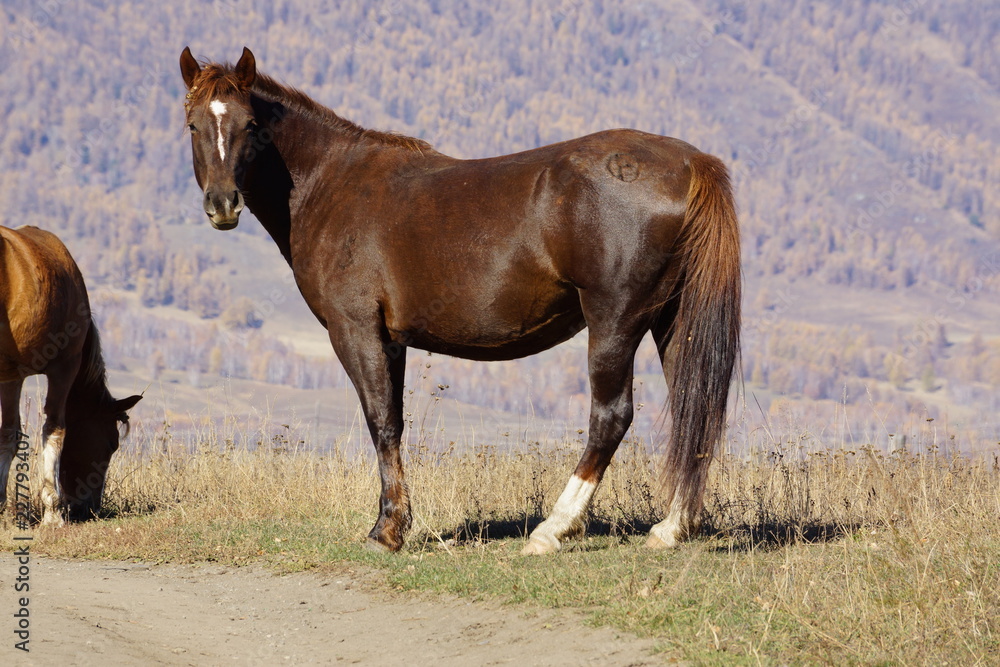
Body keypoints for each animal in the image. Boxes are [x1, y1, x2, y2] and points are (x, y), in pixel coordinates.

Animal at [0, 225, 142, 525]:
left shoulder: (11, 375)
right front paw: (53, 511)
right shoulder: (65, 367)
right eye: (111, 444)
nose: (89, 508)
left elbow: (8, 433)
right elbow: (55, 429)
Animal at [178, 47, 741, 554]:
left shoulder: (356, 331)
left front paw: (387, 531)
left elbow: (381, 422)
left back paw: (552, 530)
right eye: (192, 125)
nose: (223, 204)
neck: (331, 182)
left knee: (611, 417)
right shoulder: (392, 341)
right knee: (692, 406)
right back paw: (671, 528)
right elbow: (394, 421)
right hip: (671, 321)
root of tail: (691, 163)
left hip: (614, 320)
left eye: (252, 124)